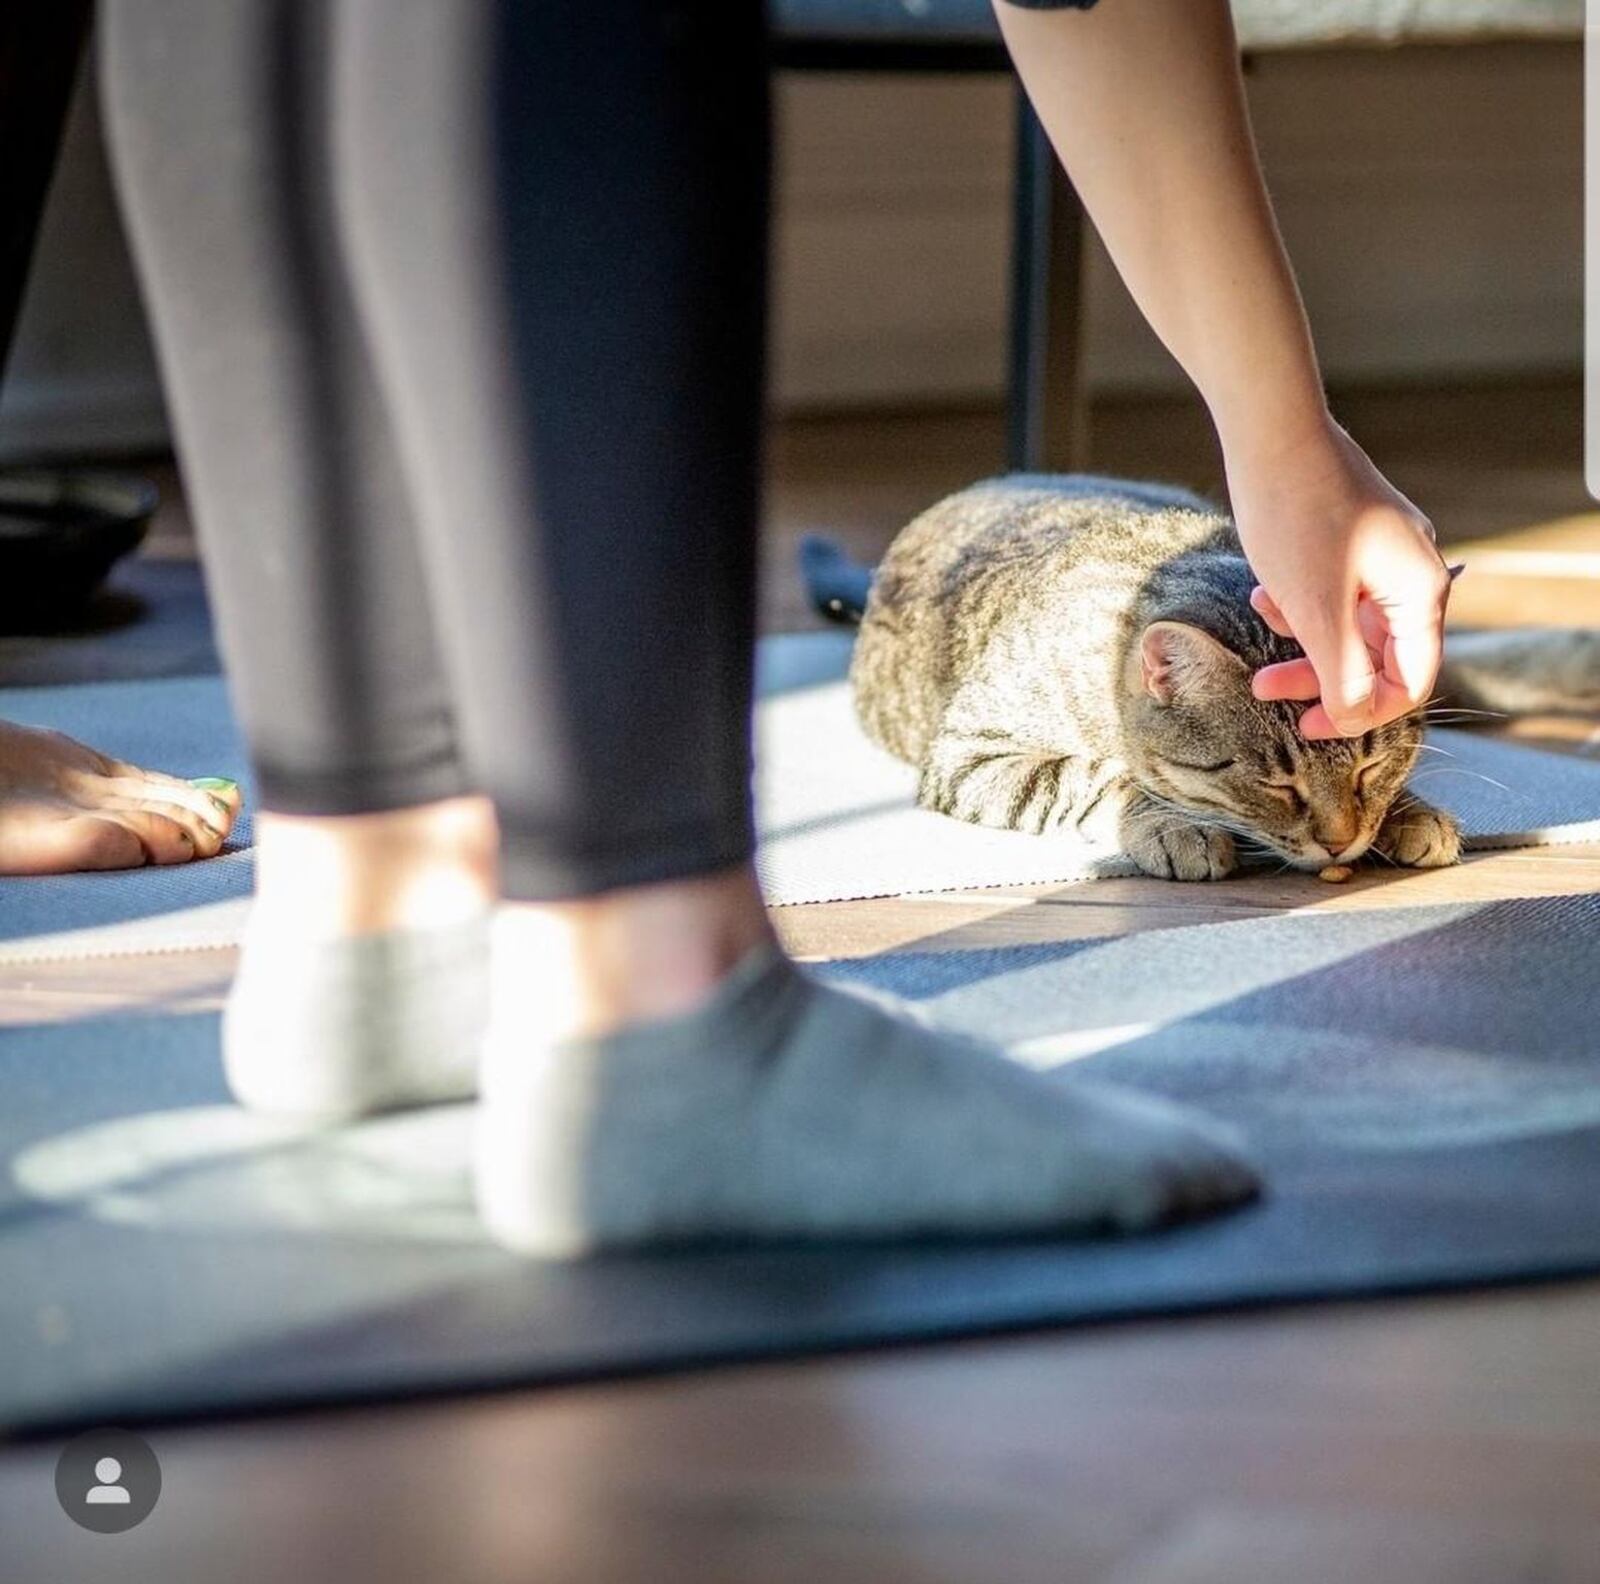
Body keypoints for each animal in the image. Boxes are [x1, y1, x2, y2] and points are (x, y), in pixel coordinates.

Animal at [838, 476, 1600, 889]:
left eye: (1370, 766)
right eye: (1277, 783)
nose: (1340, 843)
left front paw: (1407, 811)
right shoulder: (973, 754)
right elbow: (1095, 778)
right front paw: (1173, 825)